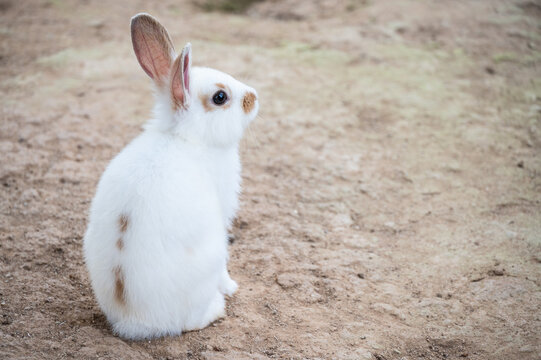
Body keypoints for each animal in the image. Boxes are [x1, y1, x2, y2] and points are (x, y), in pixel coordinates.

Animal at [83, 12, 258, 340]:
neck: (184, 137)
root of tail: (134, 322)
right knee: (190, 322)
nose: (254, 96)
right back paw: (217, 309)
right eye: (220, 97)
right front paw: (233, 287)